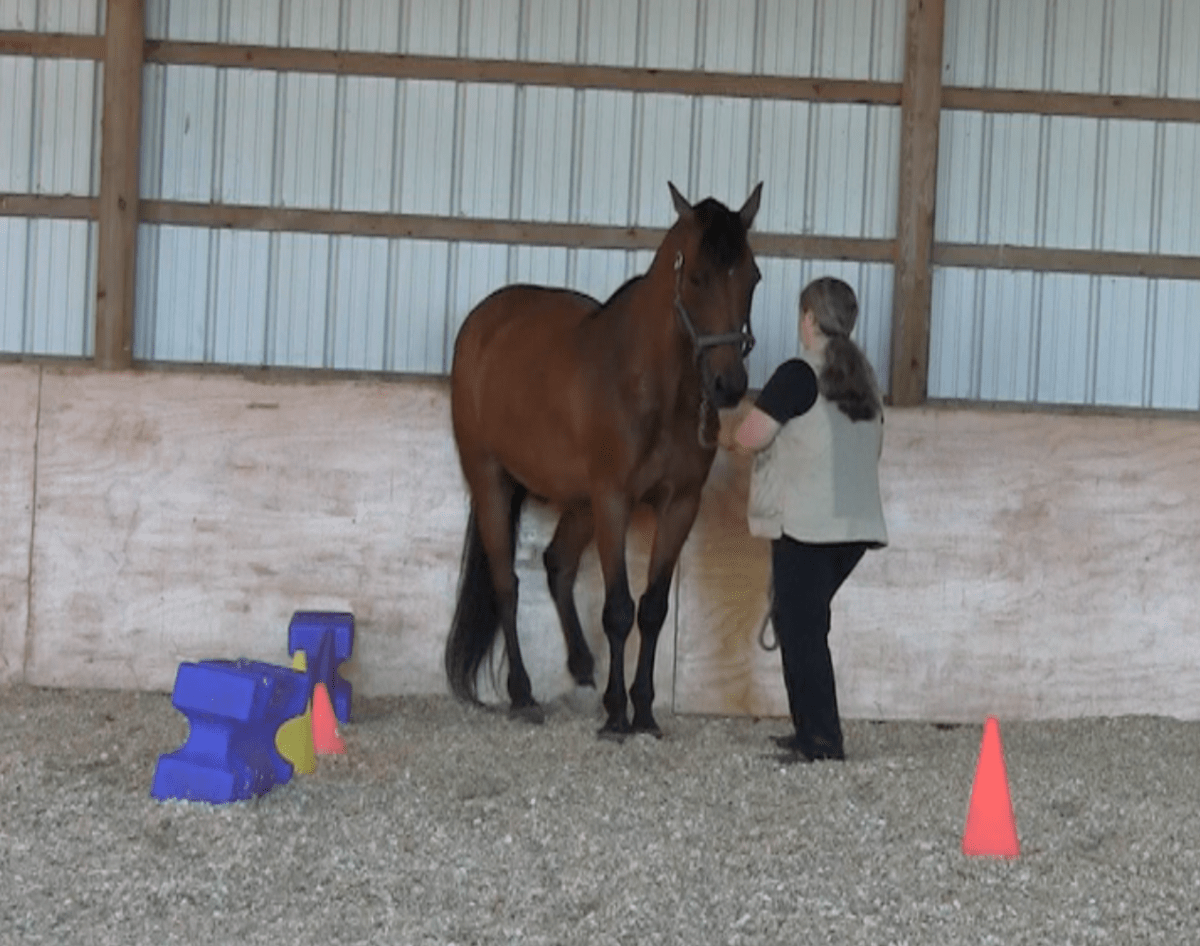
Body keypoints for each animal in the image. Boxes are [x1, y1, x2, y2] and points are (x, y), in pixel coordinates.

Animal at [445, 181, 763, 737]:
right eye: (697, 277)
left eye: (753, 277)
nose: (729, 385)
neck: (651, 386)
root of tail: (484, 322)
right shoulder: (614, 500)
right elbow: (618, 608)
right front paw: (618, 716)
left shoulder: (679, 505)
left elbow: (652, 608)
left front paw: (645, 711)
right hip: (491, 480)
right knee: (507, 584)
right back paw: (524, 694)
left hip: (579, 500)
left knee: (558, 563)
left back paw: (582, 667)